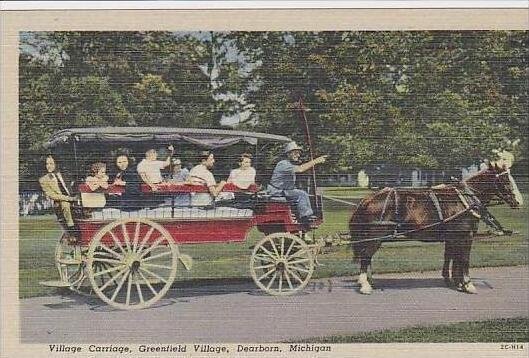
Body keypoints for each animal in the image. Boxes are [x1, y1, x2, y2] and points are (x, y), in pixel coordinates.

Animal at [348, 164, 520, 296]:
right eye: (505, 180)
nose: (519, 201)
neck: (465, 200)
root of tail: (368, 198)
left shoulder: (453, 237)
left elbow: (452, 258)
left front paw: (456, 282)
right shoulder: (466, 236)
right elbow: (463, 260)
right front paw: (468, 284)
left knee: (367, 257)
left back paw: (368, 281)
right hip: (376, 236)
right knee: (366, 256)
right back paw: (365, 285)